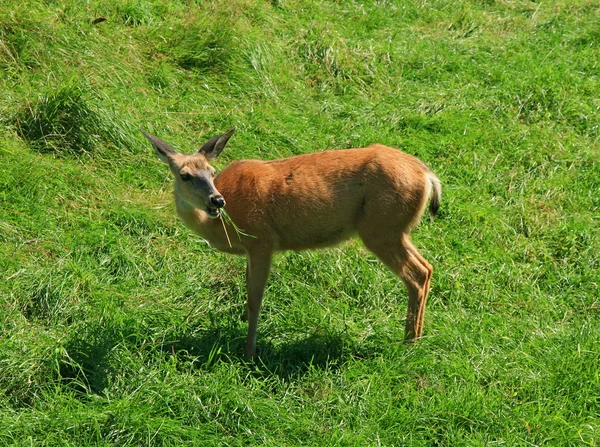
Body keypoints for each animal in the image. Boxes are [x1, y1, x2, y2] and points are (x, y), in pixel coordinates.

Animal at [141, 127, 440, 360]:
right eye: (185, 175)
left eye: (212, 172)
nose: (217, 200)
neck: (223, 224)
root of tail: (427, 176)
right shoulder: (251, 250)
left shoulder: (262, 241)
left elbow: (255, 298)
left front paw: (249, 353)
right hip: (395, 230)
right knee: (427, 267)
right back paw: (417, 336)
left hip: (381, 228)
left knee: (415, 274)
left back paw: (409, 342)